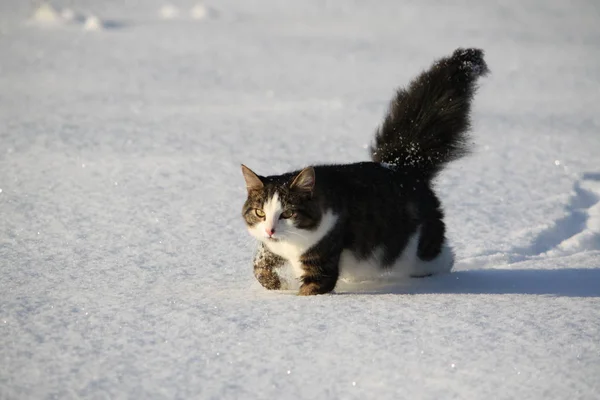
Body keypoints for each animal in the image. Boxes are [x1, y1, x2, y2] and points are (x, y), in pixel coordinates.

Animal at [239, 48, 488, 296]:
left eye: (288, 213)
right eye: (260, 213)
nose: (270, 230)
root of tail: (403, 165)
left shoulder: (323, 256)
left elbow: (311, 288)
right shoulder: (273, 248)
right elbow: (259, 265)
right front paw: (275, 285)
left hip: (416, 250)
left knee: (442, 257)